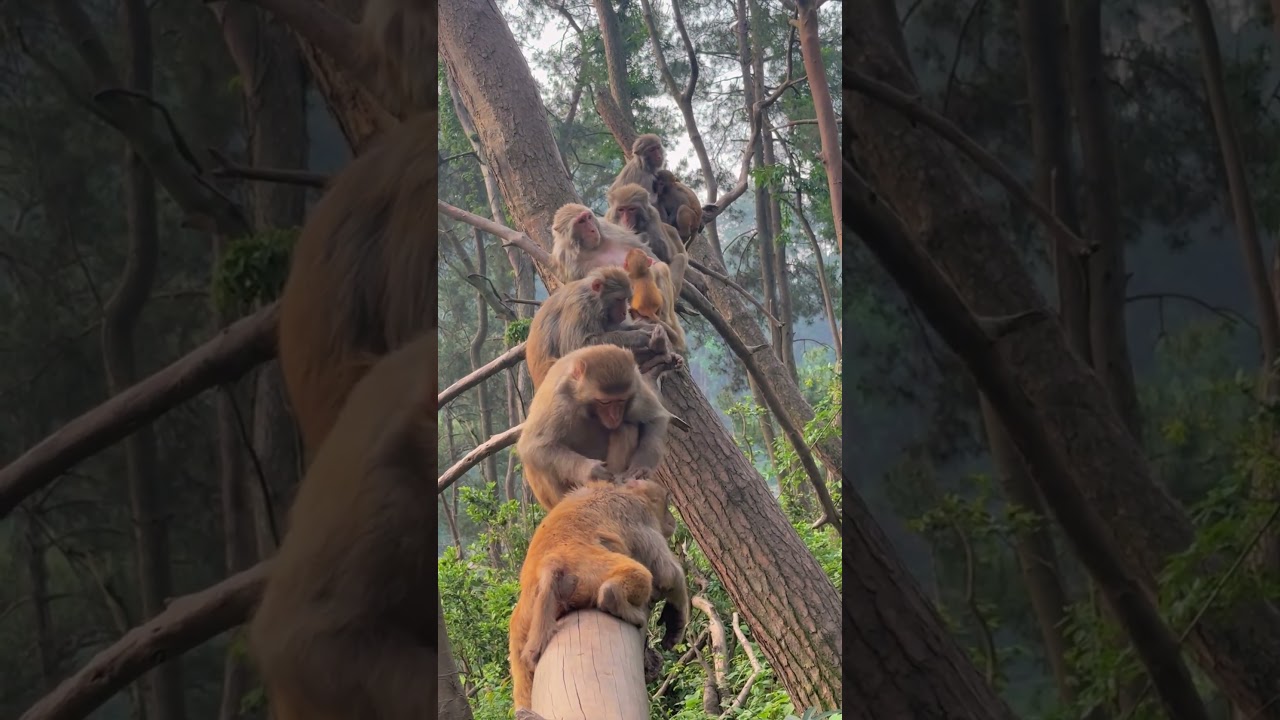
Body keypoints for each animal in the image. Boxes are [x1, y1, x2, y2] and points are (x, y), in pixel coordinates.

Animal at [508, 477, 689, 709]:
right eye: (666, 504)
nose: (671, 520)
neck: (625, 491)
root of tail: (550, 565)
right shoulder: (640, 515)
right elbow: (668, 574)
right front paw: (676, 620)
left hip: (524, 620)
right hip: (590, 571)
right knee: (637, 575)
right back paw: (615, 599)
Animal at [517, 344, 673, 511]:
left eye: (621, 400)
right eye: (605, 402)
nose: (615, 416)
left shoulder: (635, 382)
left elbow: (655, 418)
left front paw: (641, 467)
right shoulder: (558, 399)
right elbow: (533, 445)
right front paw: (591, 470)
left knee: (627, 426)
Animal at [524, 266, 678, 390]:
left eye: (626, 299)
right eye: (619, 299)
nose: (624, 312)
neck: (593, 299)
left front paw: (649, 329)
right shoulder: (579, 307)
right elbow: (576, 347)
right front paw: (639, 336)